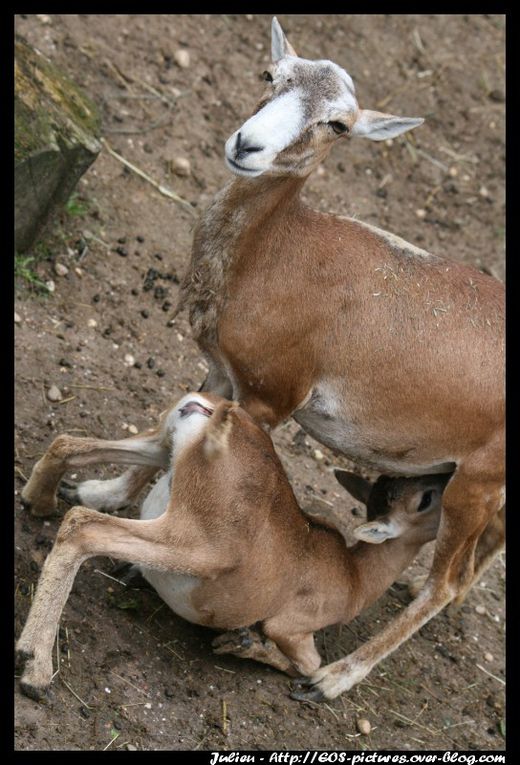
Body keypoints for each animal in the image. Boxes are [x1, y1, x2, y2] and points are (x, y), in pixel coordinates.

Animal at [24, 17, 504, 700]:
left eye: (338, 123)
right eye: (271, 75)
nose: (247, 145)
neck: (279, 252)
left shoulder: (270, 397)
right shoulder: (221, 372)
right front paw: (100, 489)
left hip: (474, 483)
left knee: (450, 583)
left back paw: (333, 679)